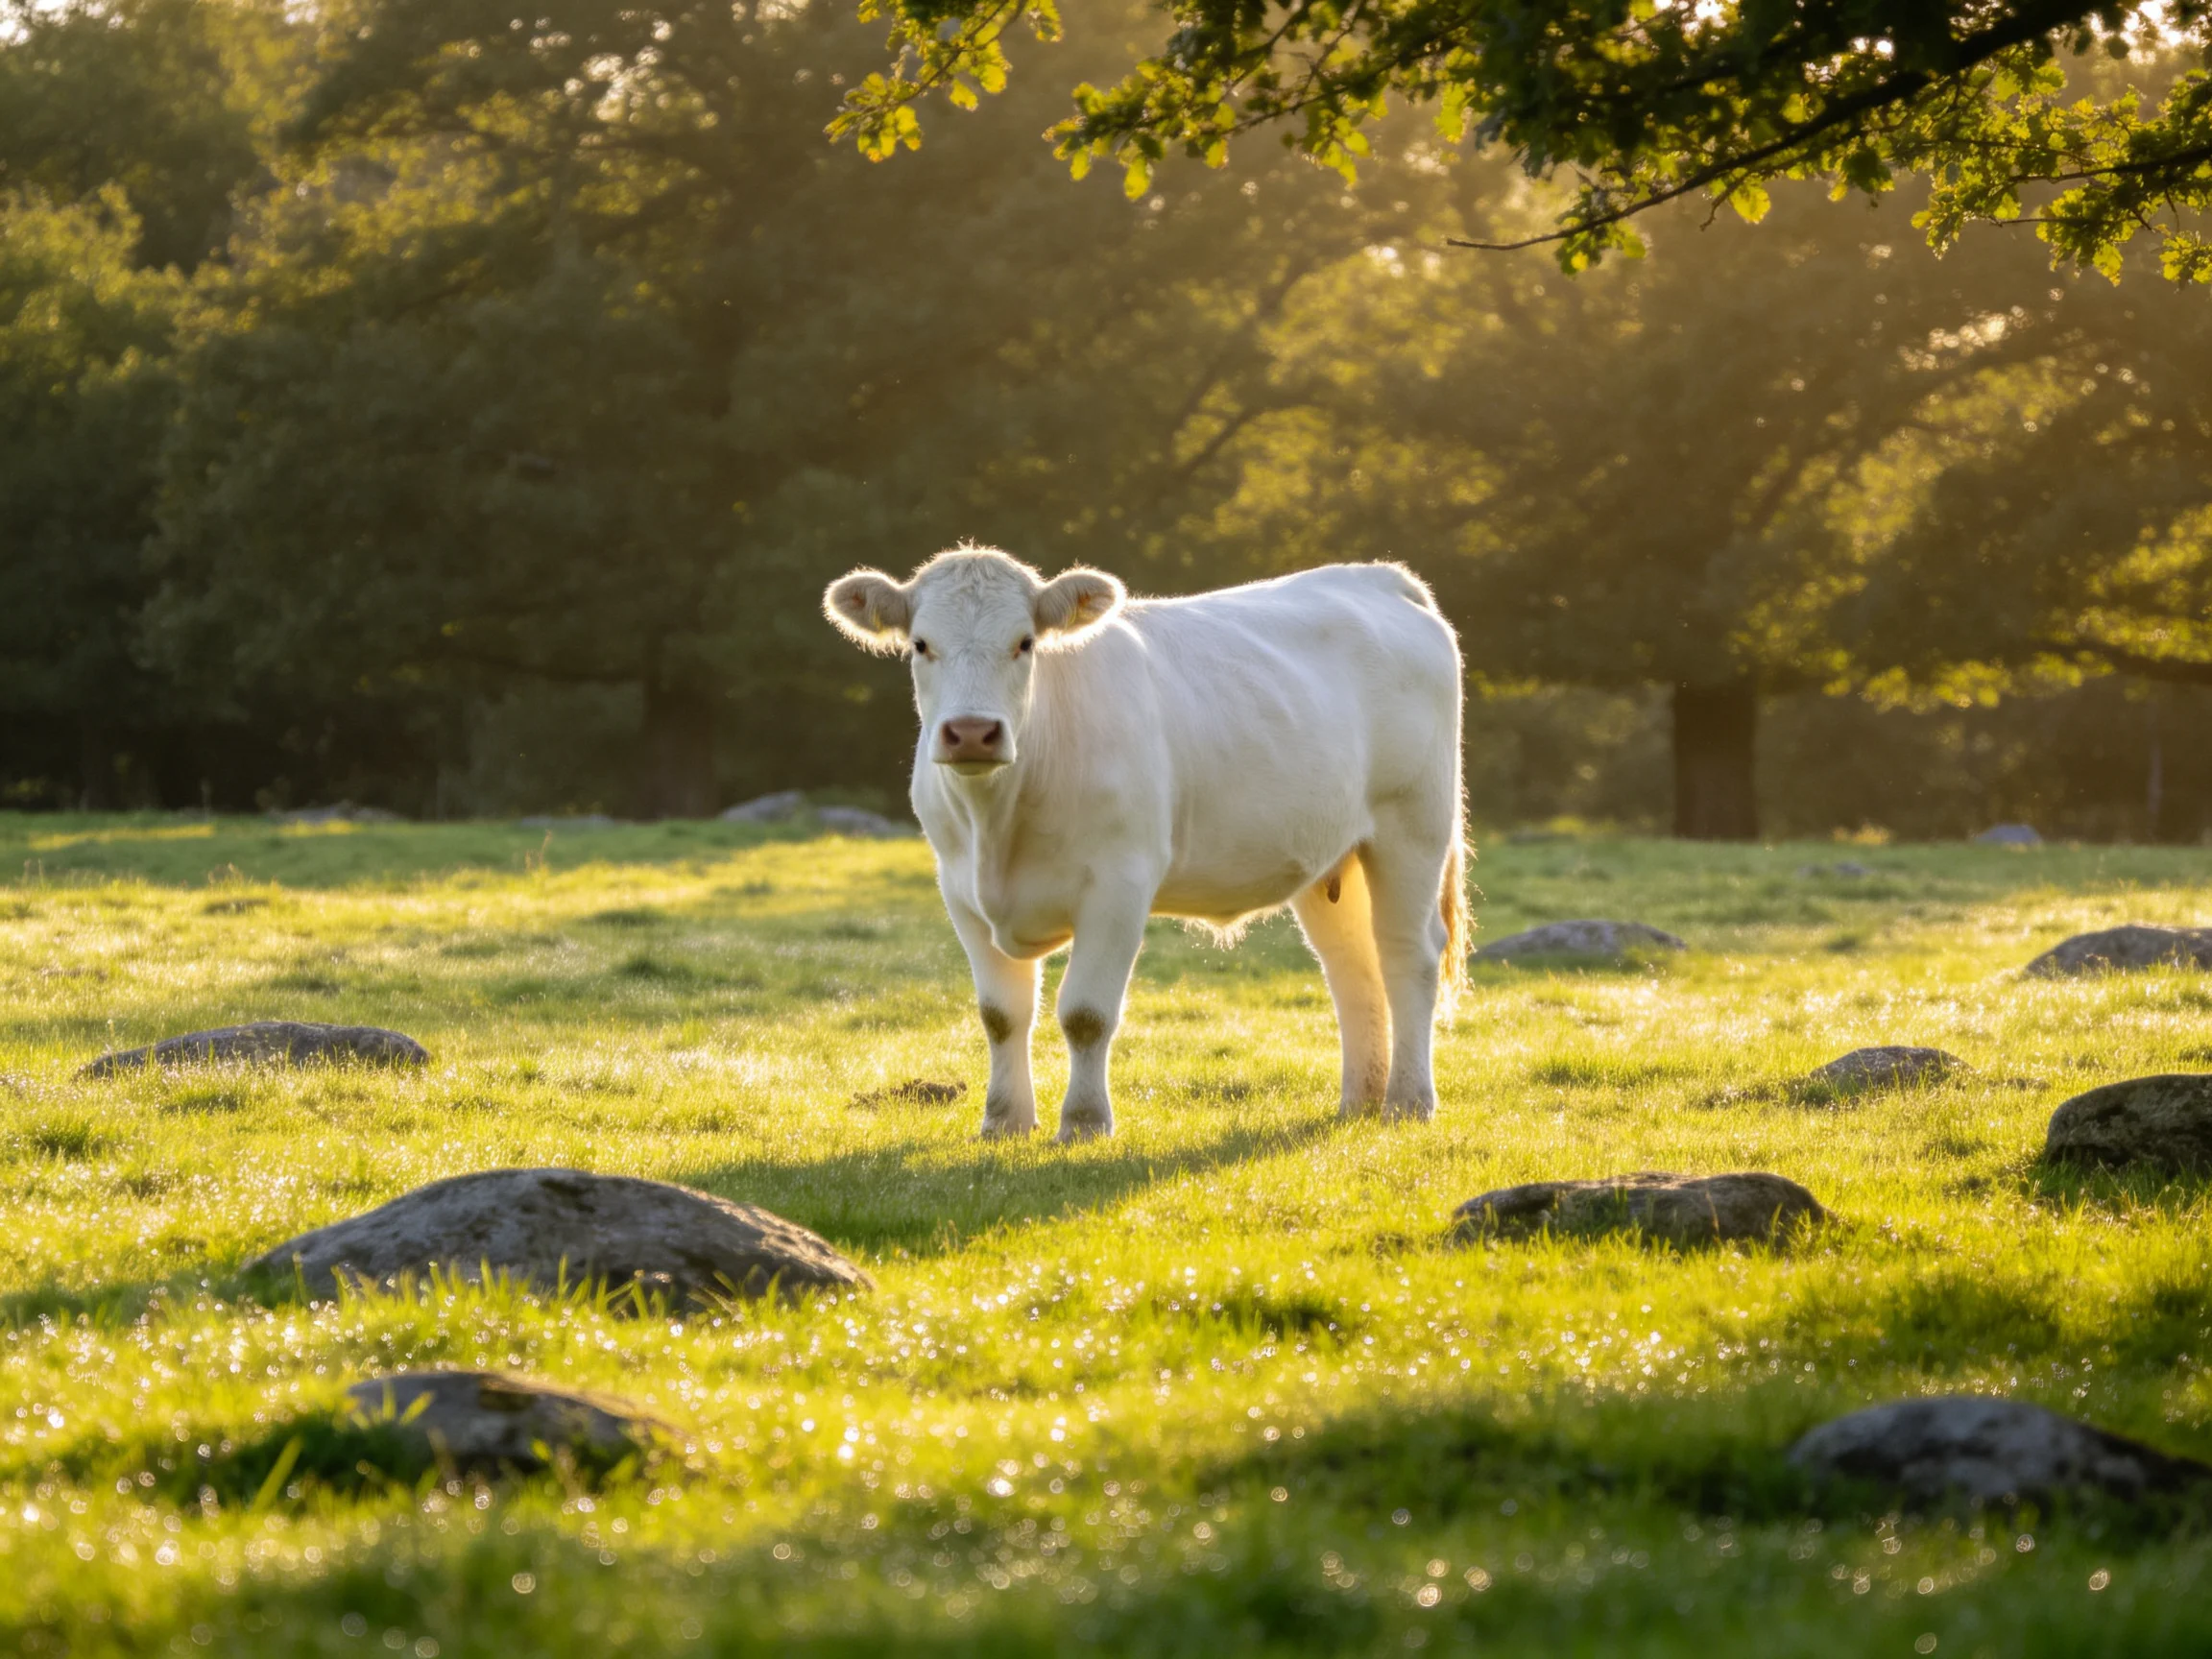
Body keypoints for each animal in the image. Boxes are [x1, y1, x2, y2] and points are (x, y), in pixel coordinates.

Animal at [824, 546, 1466, 1142]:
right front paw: (1004, 1122)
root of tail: (1375, 576)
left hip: (1413, 826)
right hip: (1330, 851)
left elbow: (1086, 1014)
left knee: (1407, 954)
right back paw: (1359, 1102)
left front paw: (1084, 1123)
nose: (973, 733)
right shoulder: (960, 890)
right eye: (921, 644)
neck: (998, 826)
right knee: (1351, 965)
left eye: (1025, 643)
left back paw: (1409, 1101)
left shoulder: (1119, 883)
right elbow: (1001, 1015)